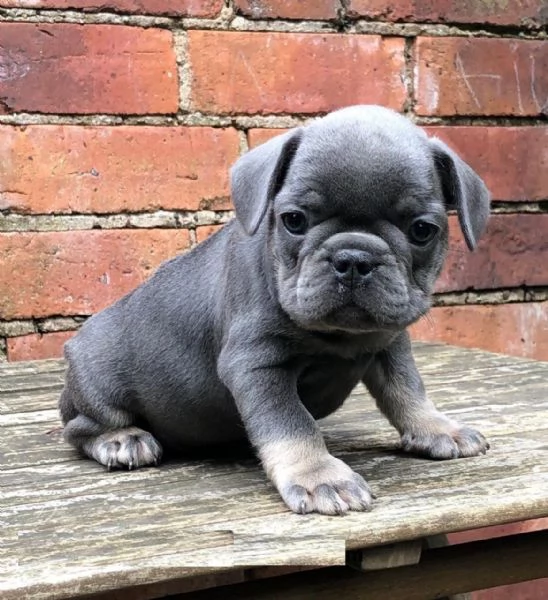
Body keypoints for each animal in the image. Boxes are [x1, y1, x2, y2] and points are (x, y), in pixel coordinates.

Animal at [61, 104, 492, 516]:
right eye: (294, 220)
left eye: (422, 230)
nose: (353, 258)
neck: (340, 335)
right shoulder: (258, 365)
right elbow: (292, 423)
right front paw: (319, 475)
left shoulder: (390, 344)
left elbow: (408, 389)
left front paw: (436, 427)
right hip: (100, 384)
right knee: (79, 428)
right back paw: (122, 440)